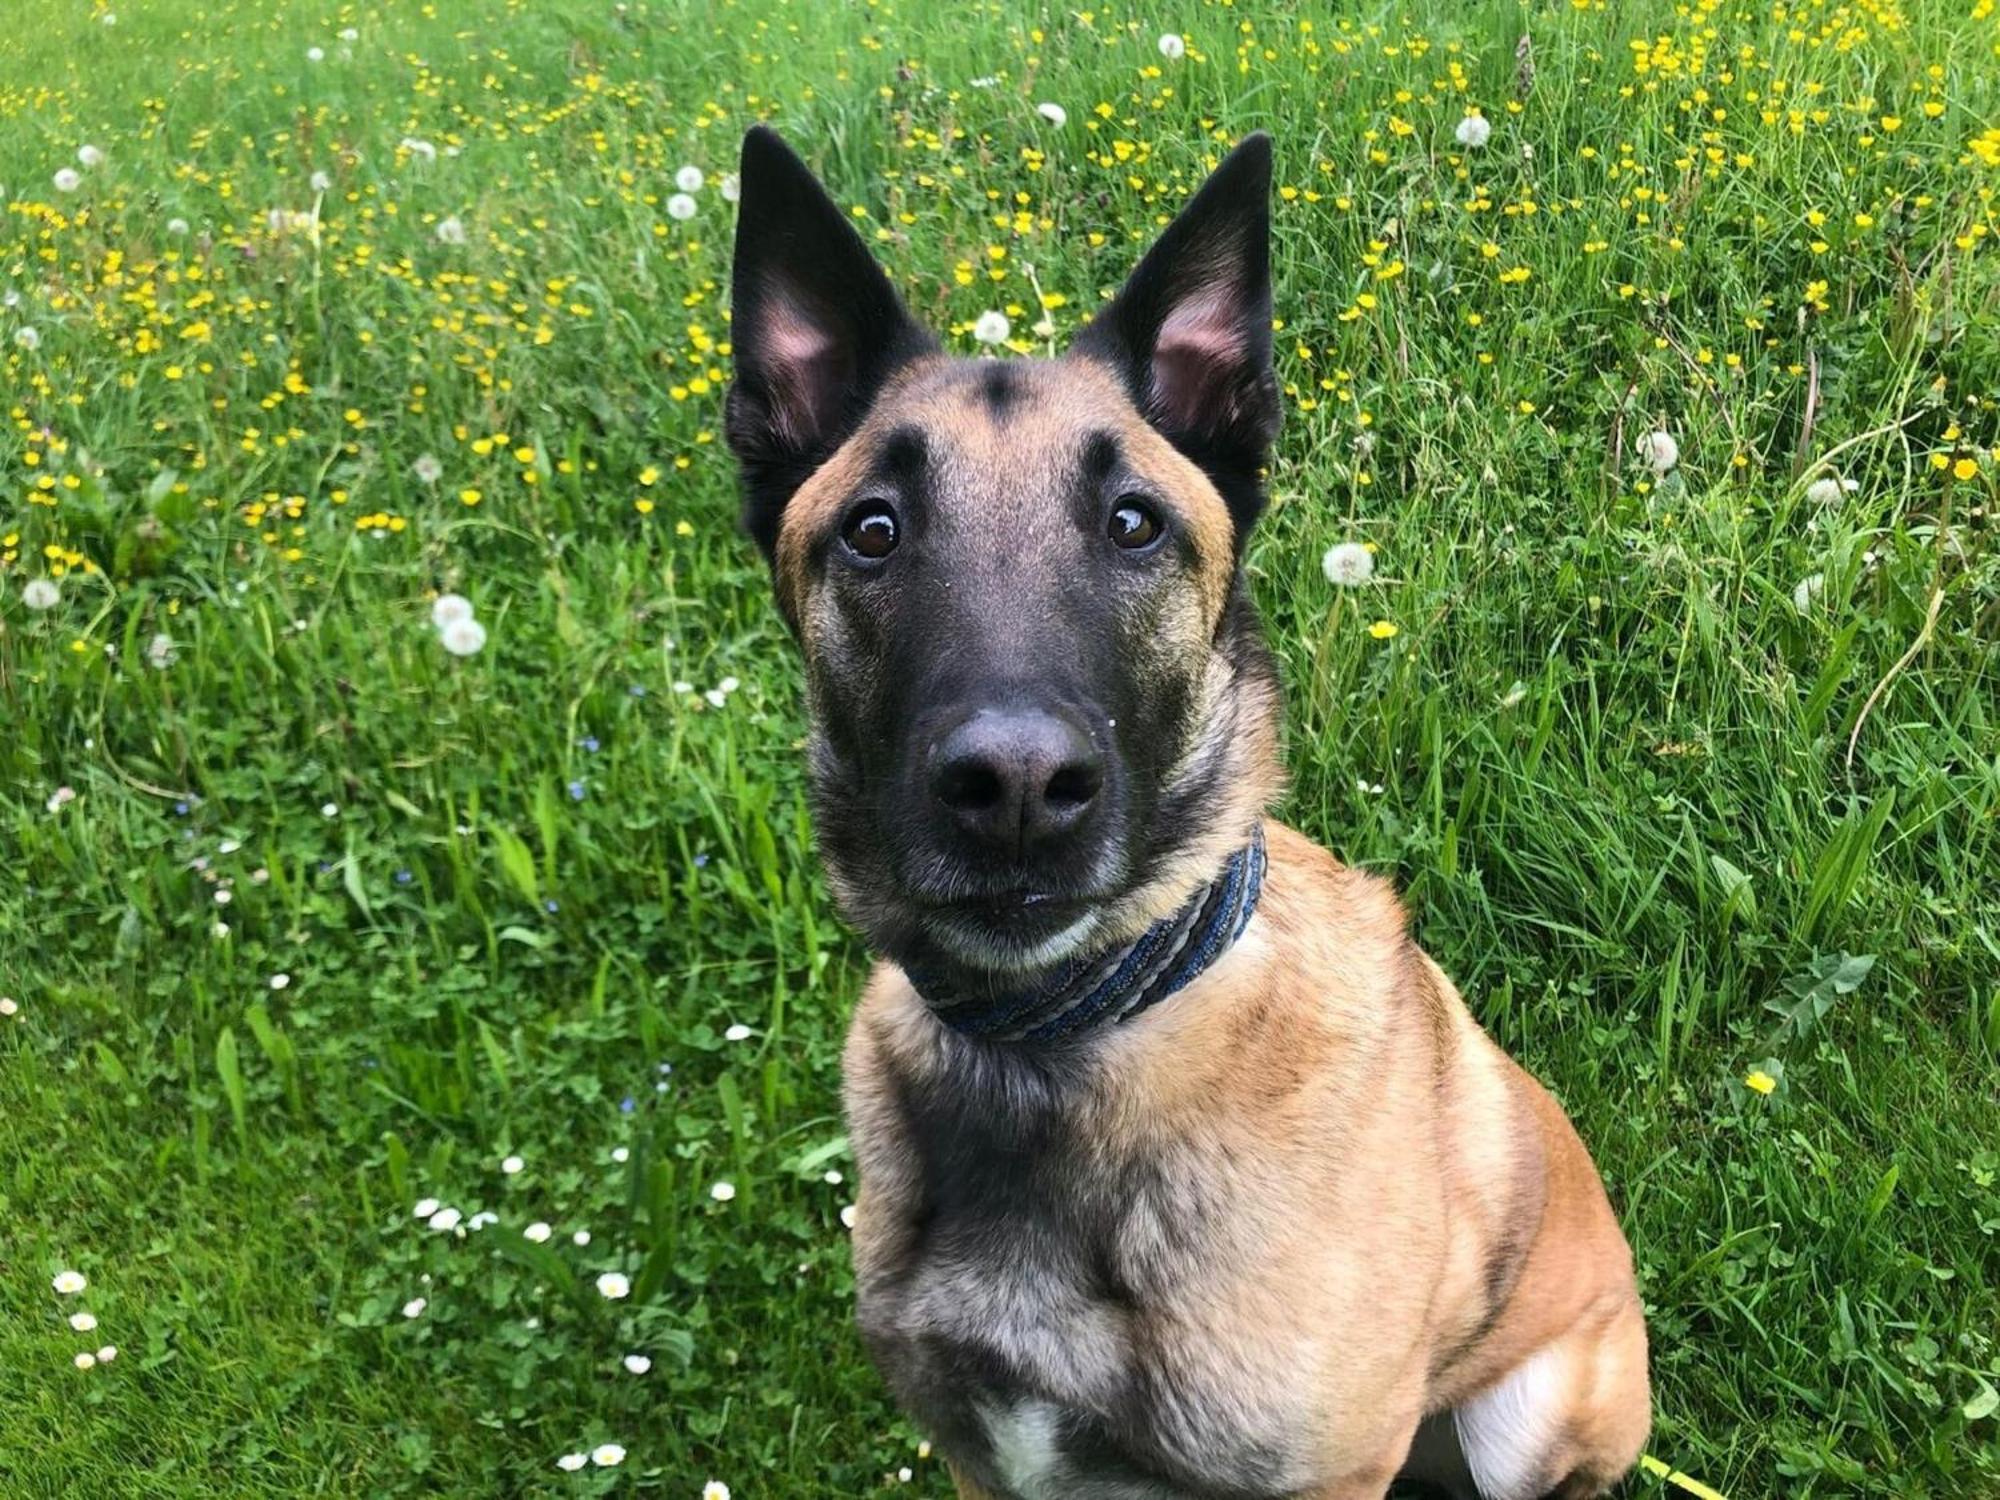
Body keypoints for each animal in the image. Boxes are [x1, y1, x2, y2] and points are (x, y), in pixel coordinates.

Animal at [728, 132, 1648, 1500]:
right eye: (873, 531)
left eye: (1132, 525)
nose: (1015, 789)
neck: (1055, 1036)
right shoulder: (982, 1459)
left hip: (1525, 1416)